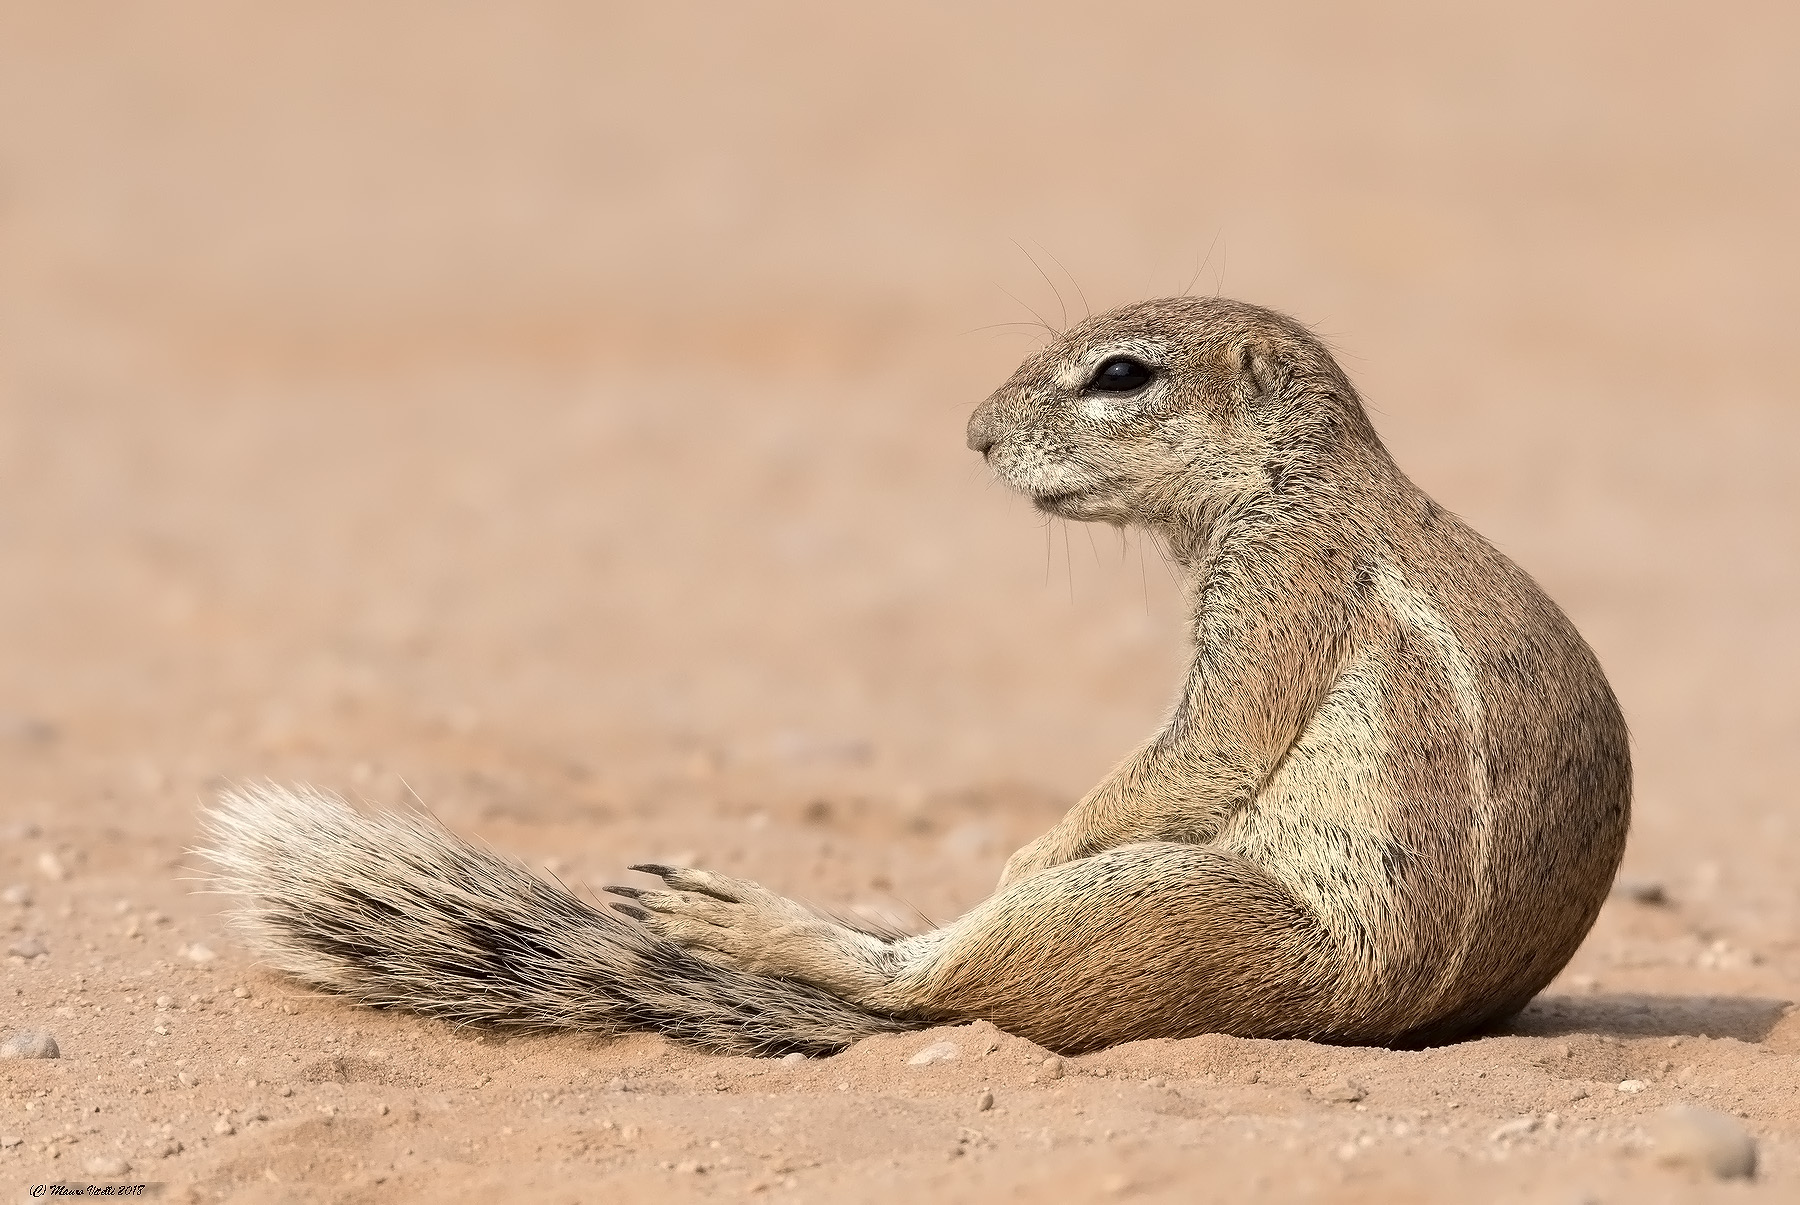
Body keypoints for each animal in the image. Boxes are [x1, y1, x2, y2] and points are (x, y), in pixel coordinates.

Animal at [204, 296, 1630, 1056]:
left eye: (1123, 373)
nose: (975, 433)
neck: (1297, 475)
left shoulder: (1282, 583)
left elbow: (1206, 746)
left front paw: (1019, 850)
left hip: (1173, 909)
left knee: (939, 983)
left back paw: (763, 917)